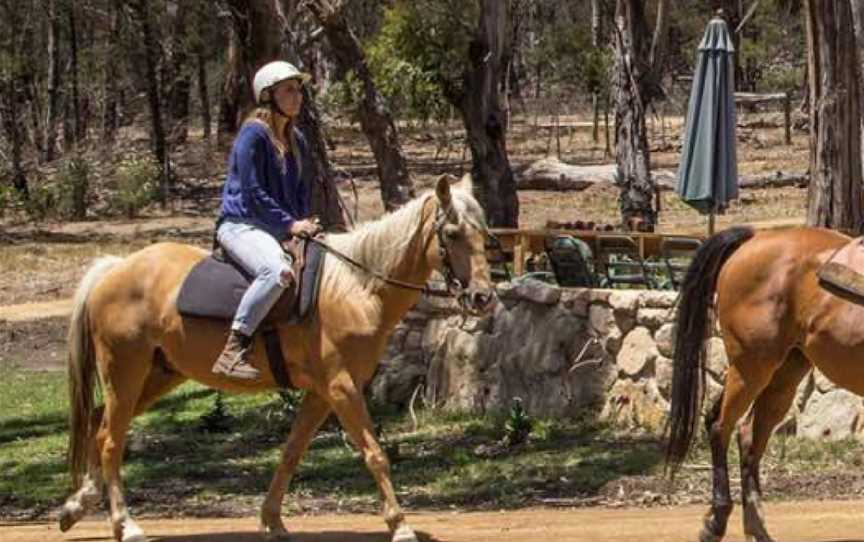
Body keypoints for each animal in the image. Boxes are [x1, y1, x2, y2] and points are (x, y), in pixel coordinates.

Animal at [59, 176, 492, 540]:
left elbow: (291, 452)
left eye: (484, 233)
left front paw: (272, 519)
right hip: (125, 372)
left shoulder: (321, 393)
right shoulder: (341, 387)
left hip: (158, 374)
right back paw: (125, 524)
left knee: (97, 423)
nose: (482, 297)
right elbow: (375, 453)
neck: (356, 288)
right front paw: (400, 525)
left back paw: (77, 505)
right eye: (451, 233)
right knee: (110, 439)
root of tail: (115, 269)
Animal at [664, 227, 860, 542]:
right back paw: (716, 521)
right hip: (750, 368)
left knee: (749, 436)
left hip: (783, 375)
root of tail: (755, 236)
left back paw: (756, 527)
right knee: (721, 425)